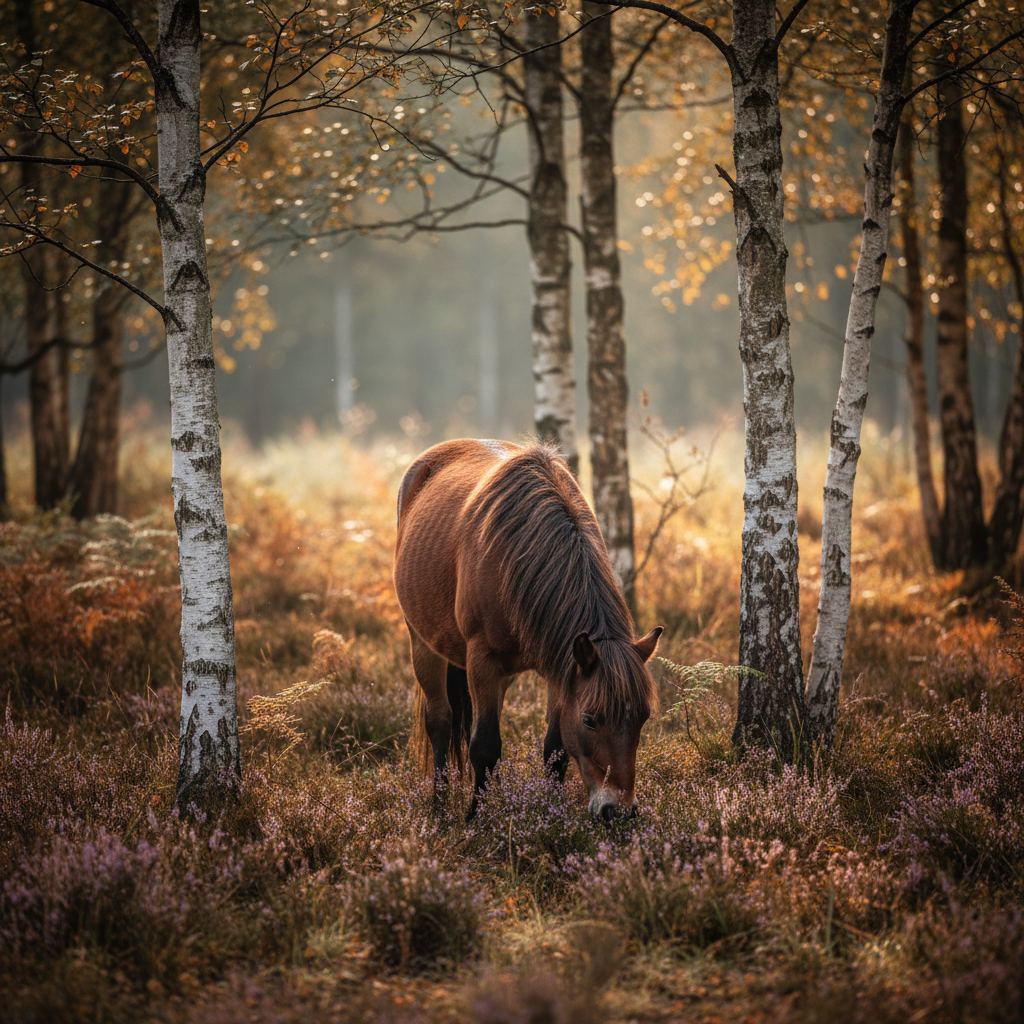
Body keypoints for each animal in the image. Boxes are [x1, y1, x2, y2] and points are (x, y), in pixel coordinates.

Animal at [393, 438, 663, 820]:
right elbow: (484, 746)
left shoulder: (562, 667)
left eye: (642, 717)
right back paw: (440, 805)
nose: (619, 811)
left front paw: (552, 816)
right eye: (591, 720)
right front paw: (476, 818)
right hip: (423, 645)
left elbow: (555, 749)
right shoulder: (482, 659)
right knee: (441, 722)